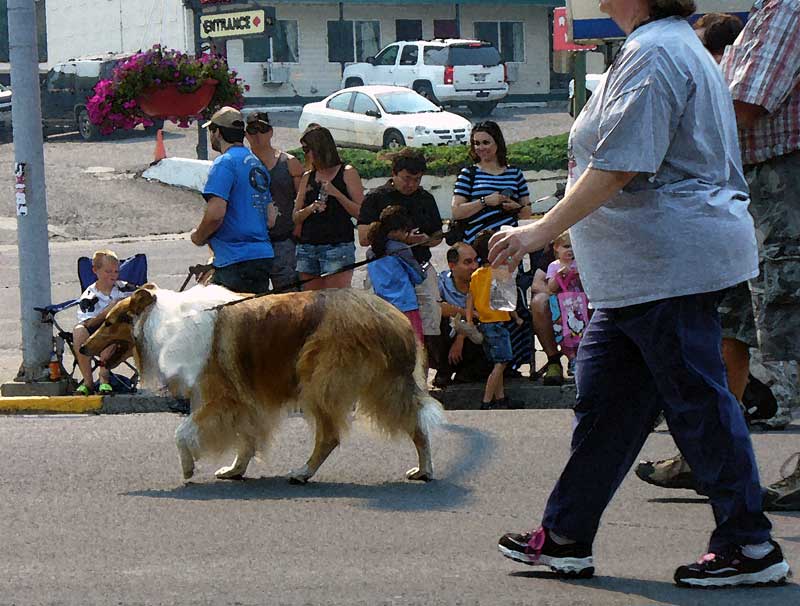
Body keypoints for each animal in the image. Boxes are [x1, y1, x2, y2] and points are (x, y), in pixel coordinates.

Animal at [83, 284, 444, 484]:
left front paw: (187, 469)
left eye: (111, 321)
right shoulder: (245, 400)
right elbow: (246, 439)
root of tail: (393, 316)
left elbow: (182, 432)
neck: (165, 322)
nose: (83, 347)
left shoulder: (221, 397)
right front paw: (234, 470)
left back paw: (302, 472)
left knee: (330, 436)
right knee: (417, 424)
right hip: (382, 384)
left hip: (321, 383)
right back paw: (423, 470)